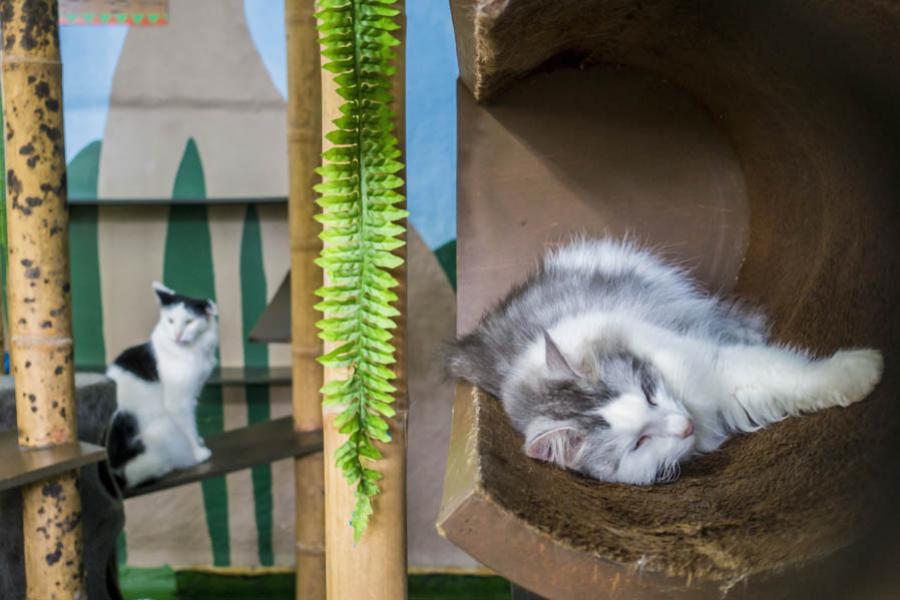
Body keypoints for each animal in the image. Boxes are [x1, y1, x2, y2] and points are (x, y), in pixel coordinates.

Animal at [104, 282, 218, 488]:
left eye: (189, 322)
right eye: (170, 321)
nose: (177, 335)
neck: (193, 351)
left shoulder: (193, 393)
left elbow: (193, 426)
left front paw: (199, 441)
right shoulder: (178, 402)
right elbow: (188, 428)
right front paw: (198, 452)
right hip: (163, 426)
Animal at [446, 237, 884, 486]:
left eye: (649, 394)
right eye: (640, 442)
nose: (684, 425)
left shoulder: (717, 364)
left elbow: (795, 372)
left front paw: (864, 369)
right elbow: (785, 382)